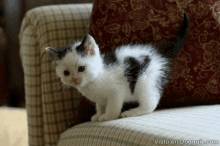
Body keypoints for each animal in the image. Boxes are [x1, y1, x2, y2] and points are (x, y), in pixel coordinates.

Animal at [44, 12, 189, 122]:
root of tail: (159, 54)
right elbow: (100, 105)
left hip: (145, 80)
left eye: (81, 68)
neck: (95, 78)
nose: (75, 80)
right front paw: (98, 115)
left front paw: (106, 117)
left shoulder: (116, 90)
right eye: (66, 73)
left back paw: (131, 112)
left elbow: (113, 107)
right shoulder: (100, 99)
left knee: (151, 103)